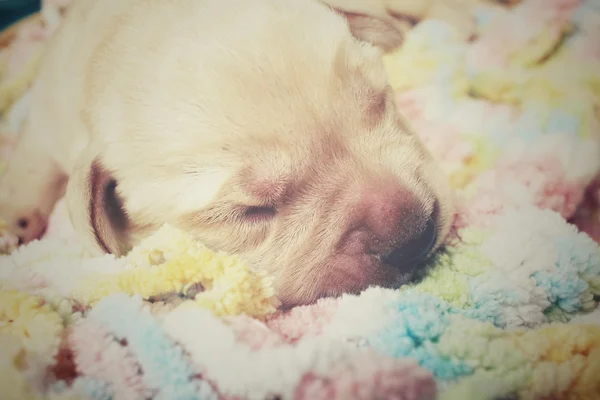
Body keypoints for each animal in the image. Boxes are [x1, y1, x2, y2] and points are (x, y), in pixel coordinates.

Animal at [0, 0, 452, 308]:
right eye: (251, 211)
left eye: (381, 100)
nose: (415, 237)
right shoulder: (45, 118)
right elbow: (31, 164)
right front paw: (13, 222)